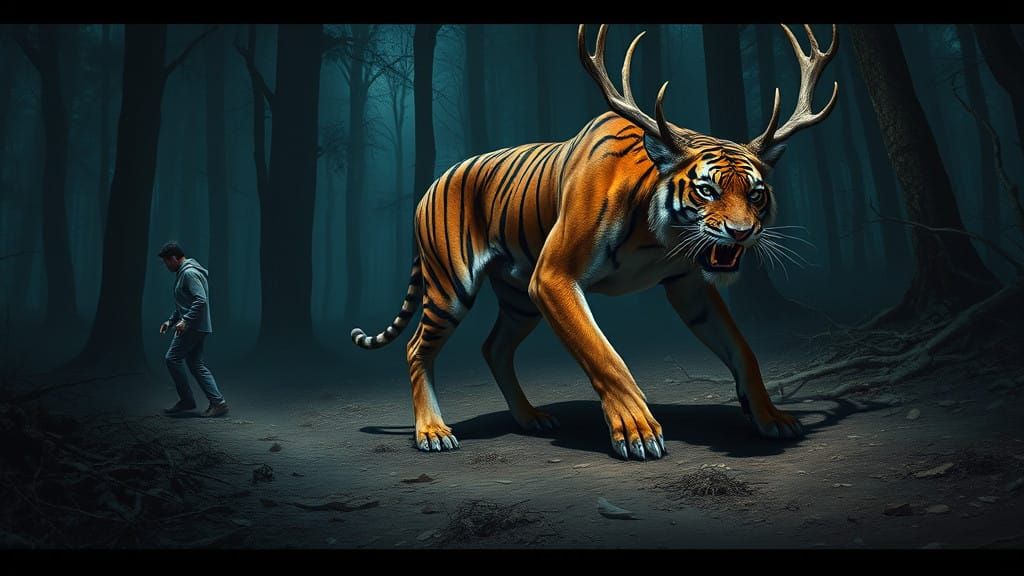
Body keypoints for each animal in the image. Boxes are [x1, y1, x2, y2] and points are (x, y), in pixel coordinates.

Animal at [351, 24, 838, 460]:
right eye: (706, 190)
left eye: (755, 194)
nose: (742, 232)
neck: (659, 238)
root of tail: (430, 186)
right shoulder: (553, 278)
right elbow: (605, 356)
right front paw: (638, 431)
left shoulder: (689, 287)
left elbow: (742, 349)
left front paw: (771, 417)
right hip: (452, 287)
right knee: (417, 347)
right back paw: (433, 432)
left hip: (518, 299)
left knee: (495, 347)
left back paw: (531, 418)